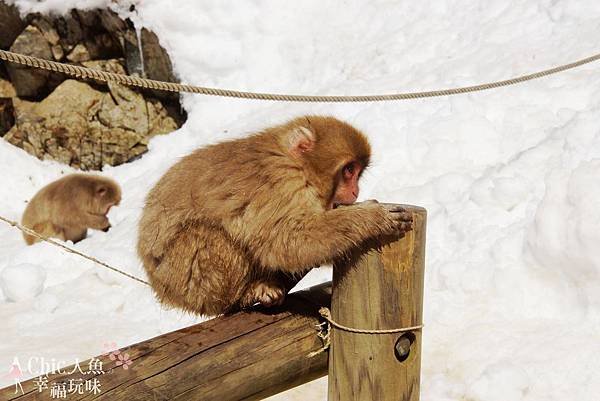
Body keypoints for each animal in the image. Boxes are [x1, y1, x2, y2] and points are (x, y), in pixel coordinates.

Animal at [139, 115, 412, 316]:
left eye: (357, 172)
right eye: (348, 171)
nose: (356, 191)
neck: (297, 164)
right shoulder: (282, 184)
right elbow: (287, 241)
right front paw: (374, 216)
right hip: (187, 281)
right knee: (211, 236)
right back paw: (244, 295)